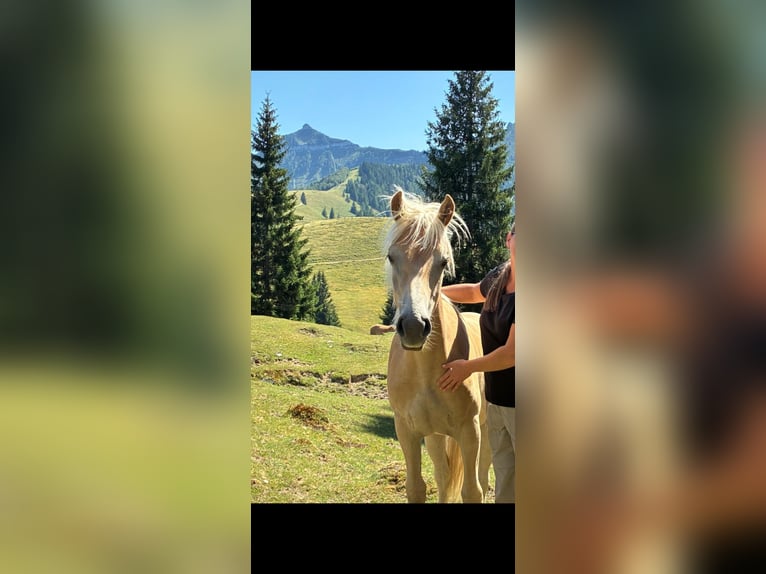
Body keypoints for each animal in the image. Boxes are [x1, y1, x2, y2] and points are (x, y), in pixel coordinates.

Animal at [383, 187, 491, 503]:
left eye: (443, 261)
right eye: (391, 257)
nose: (413, 327)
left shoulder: (470, 431)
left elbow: (473, 490)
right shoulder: (408, 431)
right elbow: (417, 486)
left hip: (487, 429)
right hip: (435, 436)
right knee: (443, 477)